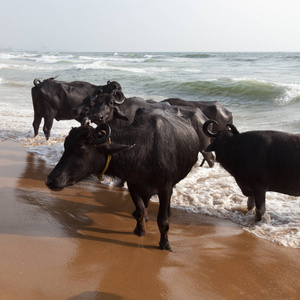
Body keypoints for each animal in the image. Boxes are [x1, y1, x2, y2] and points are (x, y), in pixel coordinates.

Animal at [47, 109, 200, 250]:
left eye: (80, 148)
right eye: (66, 145)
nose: (50, 180)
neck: (145, 152)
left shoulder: (165, 188)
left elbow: (162, 221)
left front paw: (165, 244)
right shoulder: (133, 185)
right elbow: (140, 210)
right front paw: (139, 229)